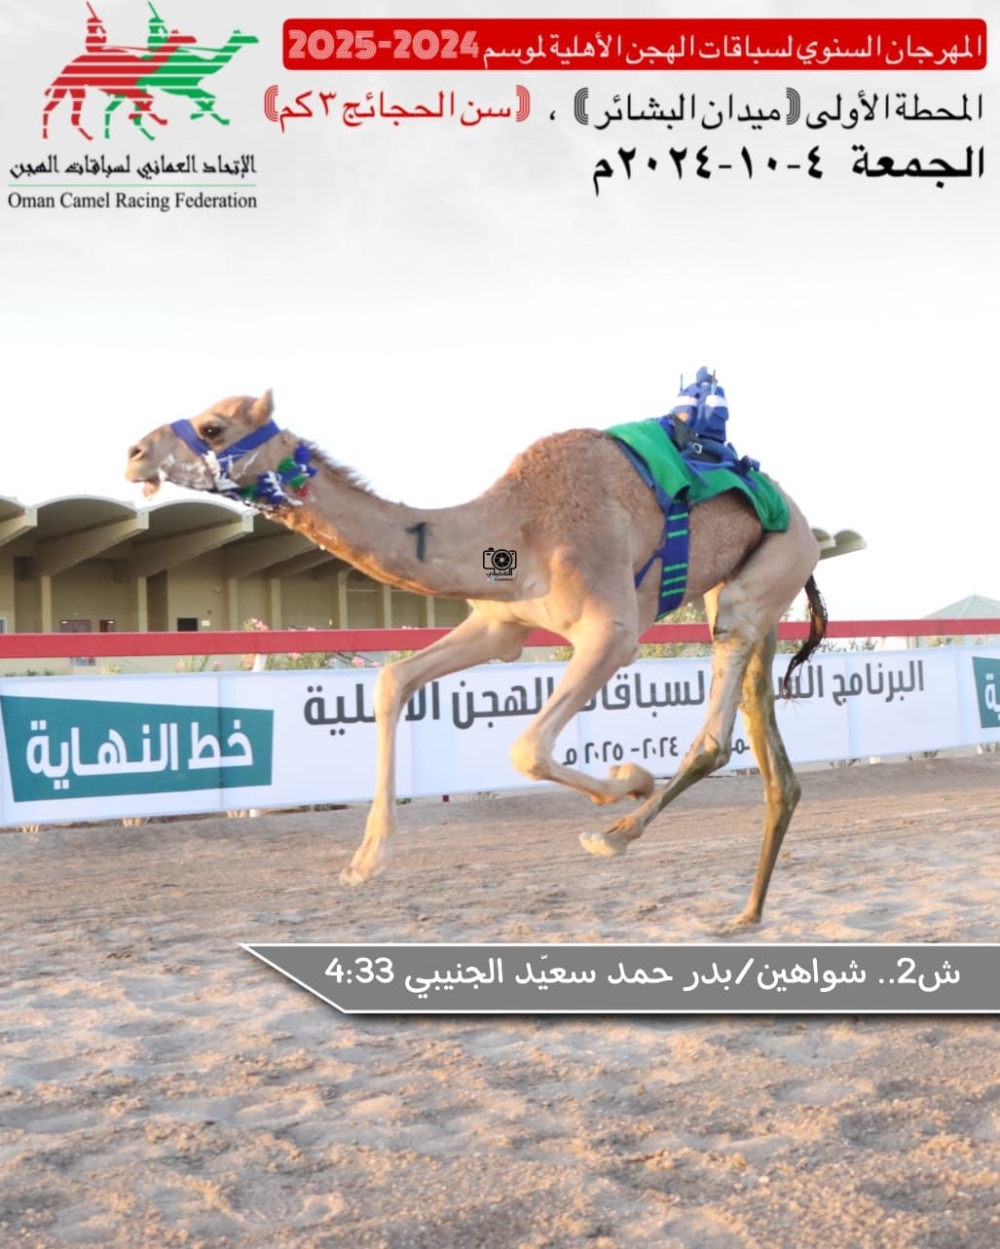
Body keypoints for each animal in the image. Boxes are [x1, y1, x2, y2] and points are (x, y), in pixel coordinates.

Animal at [125, 390, 826, 925]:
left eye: (213, 426)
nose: (134, 453)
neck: (518, 526)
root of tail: (801, 517)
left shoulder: (613, 631)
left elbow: (527, 749)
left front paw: (627, 781)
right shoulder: (499, 625)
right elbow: (391, 679)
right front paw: (366, 860)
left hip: (766, 571)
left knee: (717, 723)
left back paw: (616, 835)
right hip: (743, 590)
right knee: (767, 740)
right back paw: (745, 915)